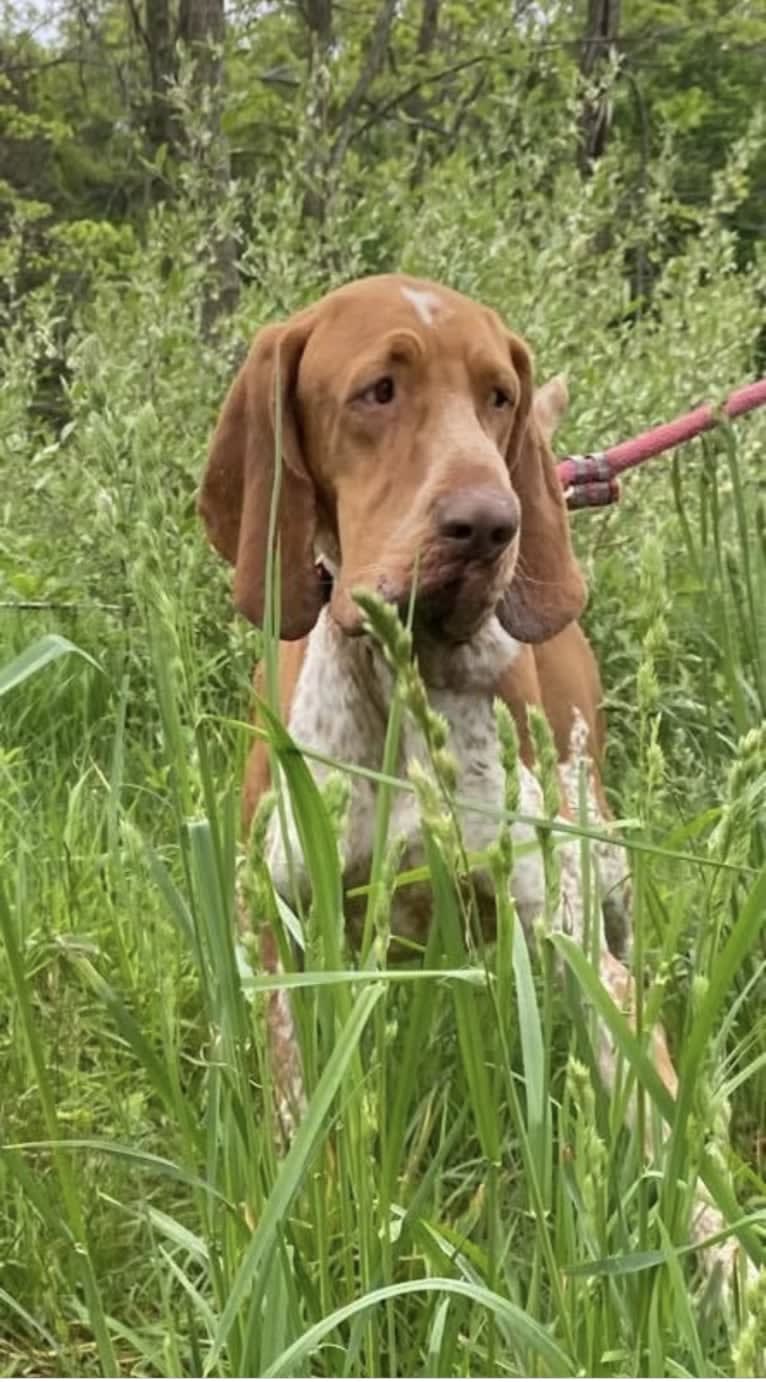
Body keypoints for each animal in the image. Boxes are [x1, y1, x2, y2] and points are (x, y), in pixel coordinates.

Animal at [199, 269, 741, 1282]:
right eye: (378, 391)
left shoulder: (570, 935)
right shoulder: (278, 920)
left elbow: (663, 1109)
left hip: (601, 865)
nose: (493, 525)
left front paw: (727, 1259)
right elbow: (298, 1100)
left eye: (498, 396)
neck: (398, 676)